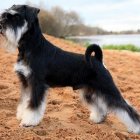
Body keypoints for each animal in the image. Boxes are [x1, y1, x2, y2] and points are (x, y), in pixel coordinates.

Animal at [0, 4, 139, 133]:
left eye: (16, 16)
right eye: (5, 15)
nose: (1, 24)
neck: (31, 47)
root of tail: (98, 60)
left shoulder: (36, 84)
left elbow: (33, 105)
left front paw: (29, 121)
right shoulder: (25, 82)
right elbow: (24, 101)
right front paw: (21, 115)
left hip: (108, 89)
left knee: (125, 108)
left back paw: (135, 128)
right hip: (89, 91)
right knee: (100, 107)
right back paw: (98, 119)